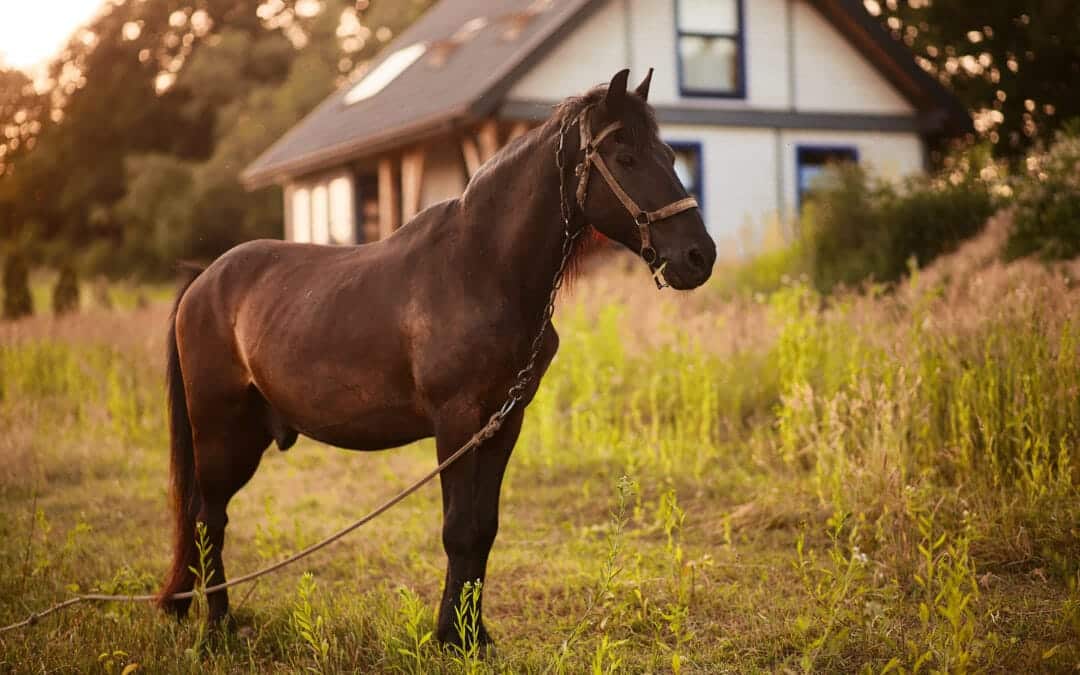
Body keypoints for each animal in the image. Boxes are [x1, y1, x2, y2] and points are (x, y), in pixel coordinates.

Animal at [158, 68, 716, 648]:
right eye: (625, 156)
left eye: (669, 155)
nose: (699, 256)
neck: (480, 269)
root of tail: (203, 279)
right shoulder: (456, 422)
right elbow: (458, 529)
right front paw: (452, 637)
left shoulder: (504, 423)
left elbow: (483, 529)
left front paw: (474, 634)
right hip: (219, 430)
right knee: (208, 518)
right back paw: (218, 628)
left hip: (250, 435)